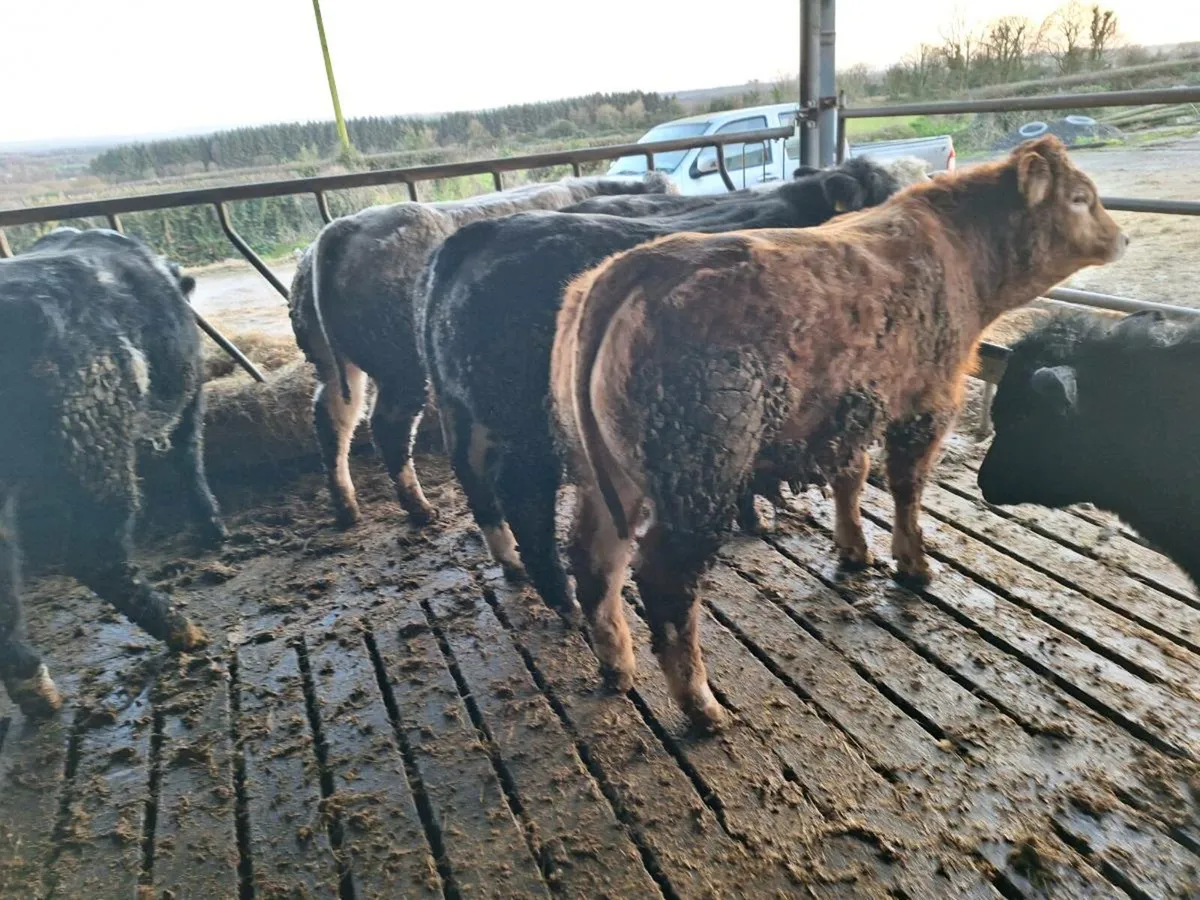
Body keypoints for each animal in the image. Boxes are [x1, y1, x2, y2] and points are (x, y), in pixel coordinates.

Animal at [0, 227, 222, 718]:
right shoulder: (191, 391)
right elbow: (189, 456)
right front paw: (213, 528)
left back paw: (37, 692)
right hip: (96, 445)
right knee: (96, 557)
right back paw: (184, 632)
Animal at [288, 173, 676, 530]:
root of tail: (341, 228)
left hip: (332, 362)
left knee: (333, 417)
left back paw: (347, 507)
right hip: (402, 366)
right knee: (387, 425)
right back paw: (419, 508)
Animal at [422, 158, 905, 620]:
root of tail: (479, 234)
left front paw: (753, 517)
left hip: (459, 405)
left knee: (472, 473)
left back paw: (511, 562)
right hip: (525, 424)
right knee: (523, 495)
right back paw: (561, 598)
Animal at [549, 135, 1127, 731]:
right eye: (1080, 198)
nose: (1122, 236)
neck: (956, 250)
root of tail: (633, 269)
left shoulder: (848, 411)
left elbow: (852, 477)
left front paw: (853, 551)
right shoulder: (929, 401)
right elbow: (906, 485)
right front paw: (914, 564)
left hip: (603, 474)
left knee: (595, 559)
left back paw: (617, 666)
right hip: (697, 474)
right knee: (665, 581)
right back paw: (702, 705)